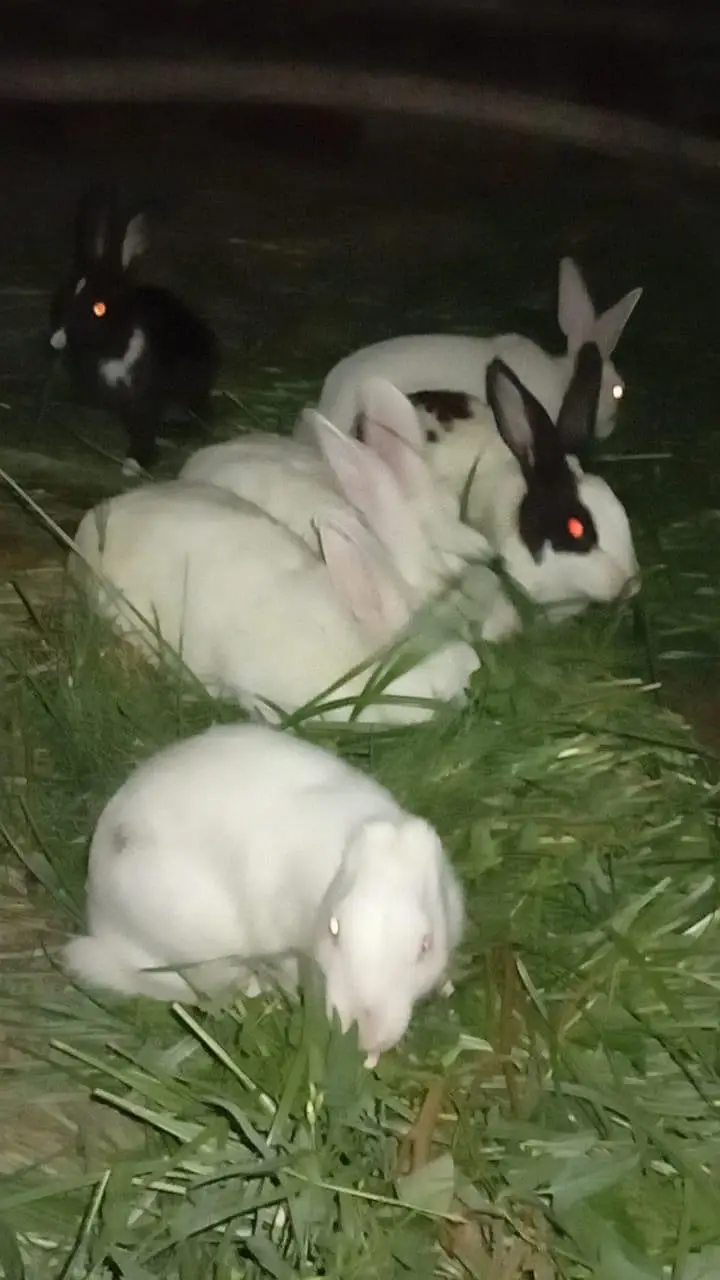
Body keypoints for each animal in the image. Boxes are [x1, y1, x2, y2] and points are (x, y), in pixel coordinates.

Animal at [49, 183, 220, 475]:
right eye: (65, 293)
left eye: (100, 308)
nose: (57, 339)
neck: (115, 350)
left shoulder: (146, 400)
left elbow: (144, 430)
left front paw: (135, 462)